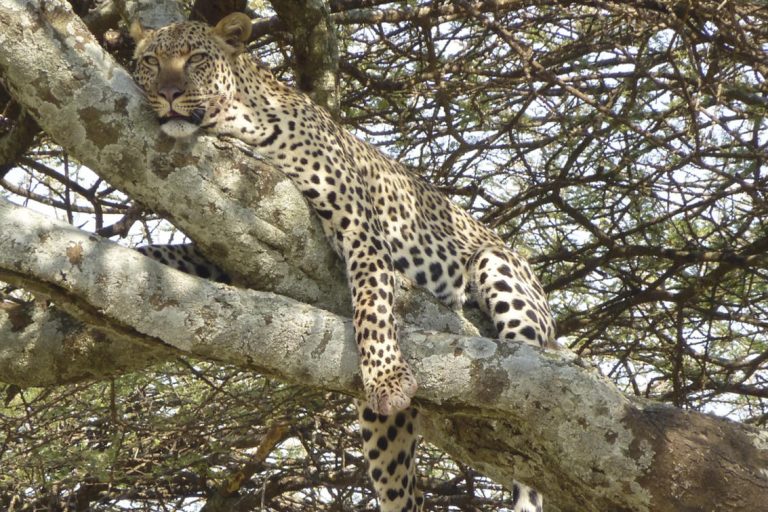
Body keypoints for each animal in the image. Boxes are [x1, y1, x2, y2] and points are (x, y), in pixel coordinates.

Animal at [130, 13, 554, 512]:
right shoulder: (219, 243)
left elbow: (372, 305)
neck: (242, 121)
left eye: (195, 58)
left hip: (499, 270)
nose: (169, 92)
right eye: (150, 62)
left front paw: (387, 378)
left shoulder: (359, 227)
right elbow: (166, 251)